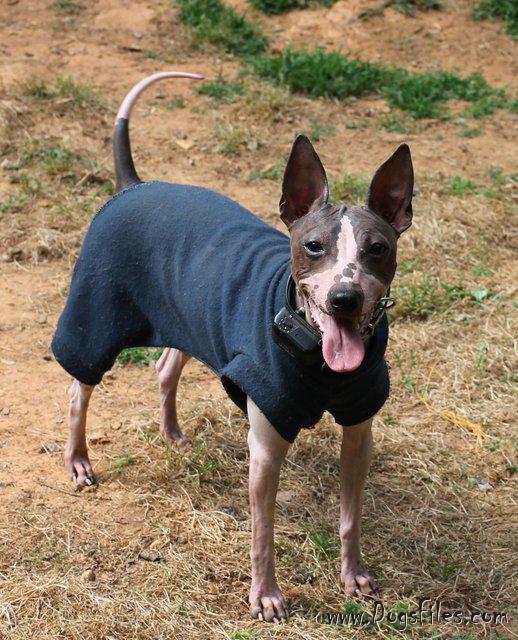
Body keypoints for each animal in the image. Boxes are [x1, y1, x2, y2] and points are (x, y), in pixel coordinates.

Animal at [51, 72, 414, 622]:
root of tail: (134, 185)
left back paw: (173, 434)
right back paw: (79, 460)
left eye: (378, 249)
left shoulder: (359, 431)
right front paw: (266, 595)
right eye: (313, 247)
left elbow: (351, 515)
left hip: (186, 317)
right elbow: (263, 533)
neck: (317, 358)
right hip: (98, 316)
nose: (345, 298)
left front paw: (352, 574)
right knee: (79, 388)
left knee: (164, 369)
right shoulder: (265, 445)